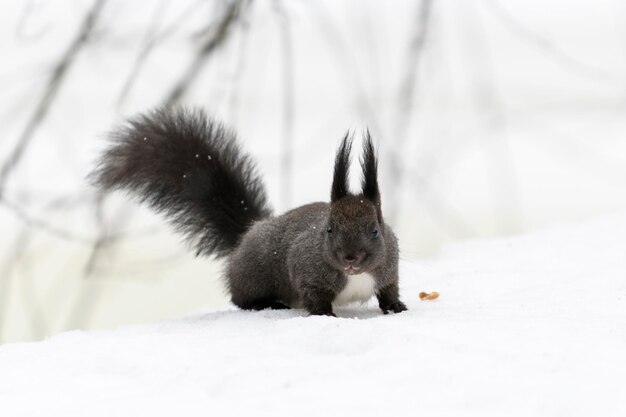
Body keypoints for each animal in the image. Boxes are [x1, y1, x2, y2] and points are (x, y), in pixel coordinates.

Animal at [90, 106, 408, 316]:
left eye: (375, 230)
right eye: (329, 229)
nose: (350, 259)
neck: (354, 277)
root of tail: (245, 236)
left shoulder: (389, 269)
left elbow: (389, 290)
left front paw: (396, 306)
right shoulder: (305, 269)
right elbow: (314, 297)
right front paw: (325, 314)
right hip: (253, 275)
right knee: (239, 297)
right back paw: (266, 303)